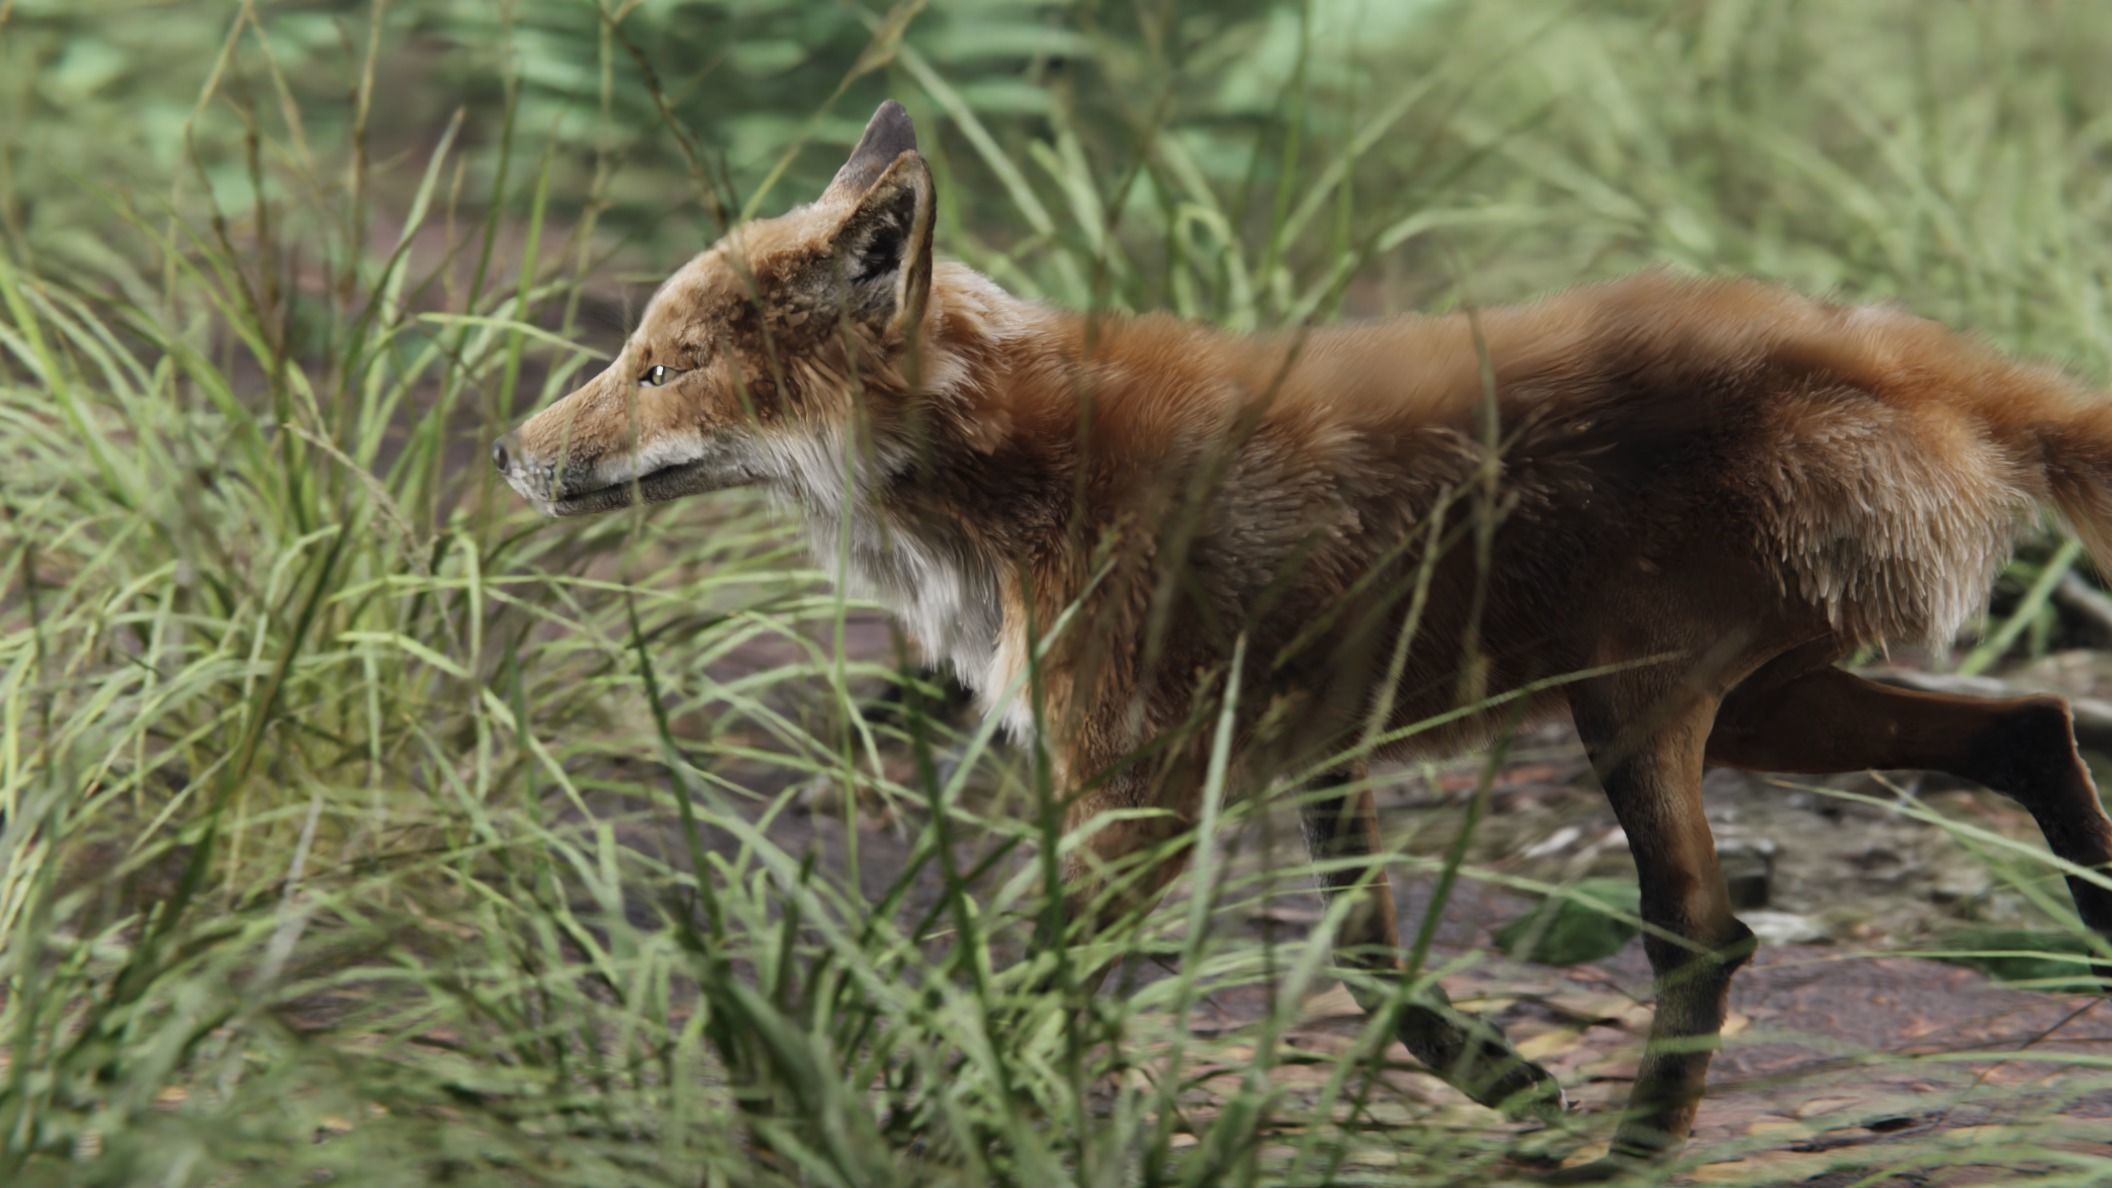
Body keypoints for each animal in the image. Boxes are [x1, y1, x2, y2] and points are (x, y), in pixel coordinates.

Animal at [493, 100, 2112, 1176]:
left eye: (661, 369)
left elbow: (1028, 980)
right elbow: (1372, 972)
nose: (511, 457)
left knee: (1705, 933)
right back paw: (2094, 919)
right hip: (1765, 708)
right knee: (2027, 727)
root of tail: (1892, 346)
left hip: (1637, 713)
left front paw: (955, 1114)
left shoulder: (1130, 790)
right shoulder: (1309, 759)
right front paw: (1501, 1080)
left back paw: (1639, 1156)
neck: (1014, 470)